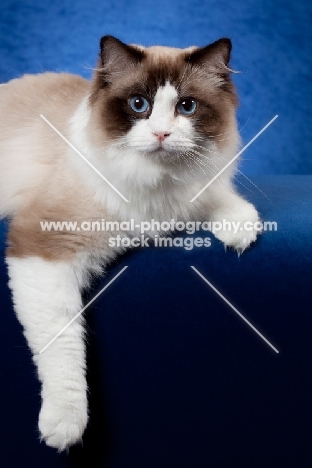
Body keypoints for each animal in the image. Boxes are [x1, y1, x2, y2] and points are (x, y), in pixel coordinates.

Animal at [0, 35, 260, 450]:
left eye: (186, 107)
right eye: (139, 105)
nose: (161, 135)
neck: (154, 185)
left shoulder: (191, 195)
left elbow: (219, 198)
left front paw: (240, 228)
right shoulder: (42, 247)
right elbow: (64, 345)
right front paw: (65, 423)